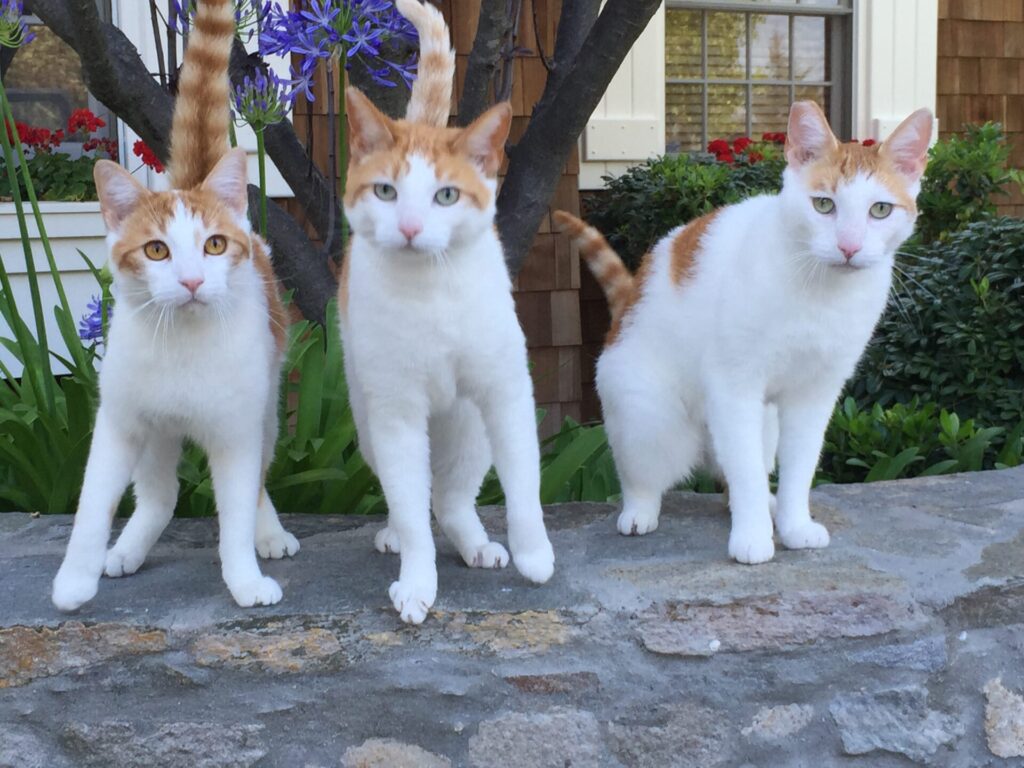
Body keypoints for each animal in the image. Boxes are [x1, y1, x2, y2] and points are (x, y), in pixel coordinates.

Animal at [50, 0, 299, 614]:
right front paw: (74, 580)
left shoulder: (235, 433)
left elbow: (236, 510)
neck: (182, 343)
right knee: (160, 494)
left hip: (265, 406)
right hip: (155, 433)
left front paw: (245, 577)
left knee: (258, 479)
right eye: (156, 250)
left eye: (214, 245)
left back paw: (270, 533)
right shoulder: (117, 425)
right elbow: (90, 509)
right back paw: (128, 549)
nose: (189, 281)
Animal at [337, 0, 552, 626]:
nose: (410, 228)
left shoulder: (506, 392)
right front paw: (416, 583)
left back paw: (477, 544)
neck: (430, 291)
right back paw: (396, 534)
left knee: (454, 497)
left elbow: (525, 483)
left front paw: (535, 553)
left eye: (447, 196)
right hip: (367, 417)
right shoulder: (396, 414)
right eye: (385, 192)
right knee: (415, 496)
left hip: (468, 427)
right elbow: (411, 511)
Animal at [557, 103, 933, 565]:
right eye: (823, 205)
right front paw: (753, 537)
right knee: (643, 472)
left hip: (763, 422)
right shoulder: (734, 386)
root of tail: (628, 298)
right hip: (647, 416)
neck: (822, 293)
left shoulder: (814, 394)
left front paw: (793, 525)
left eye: (880, 210)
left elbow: (798, 468)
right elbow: (745, 472)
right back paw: (640, 513)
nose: (849, 247)